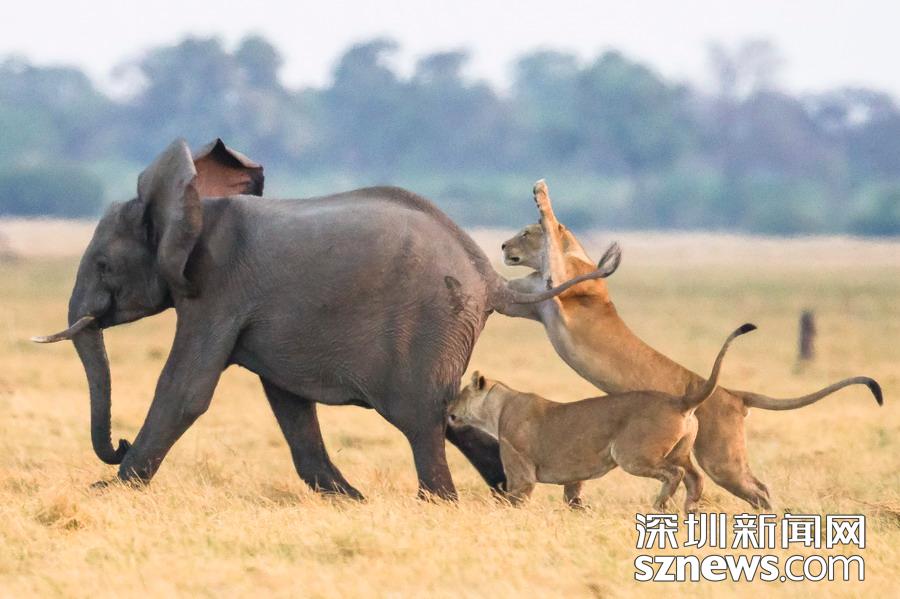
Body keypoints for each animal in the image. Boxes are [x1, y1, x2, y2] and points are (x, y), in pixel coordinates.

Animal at [34, 138, 621, 500]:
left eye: (103, 265)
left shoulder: (217, 290)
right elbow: (288, 400)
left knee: (422, 418)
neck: (195, 204)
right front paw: (349, 499)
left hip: (430, 327)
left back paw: (439, 502)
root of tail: (487, 277)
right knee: (449, 416)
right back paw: (503, 496)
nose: (118, 445)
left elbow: (186, 389)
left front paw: (110, 492)